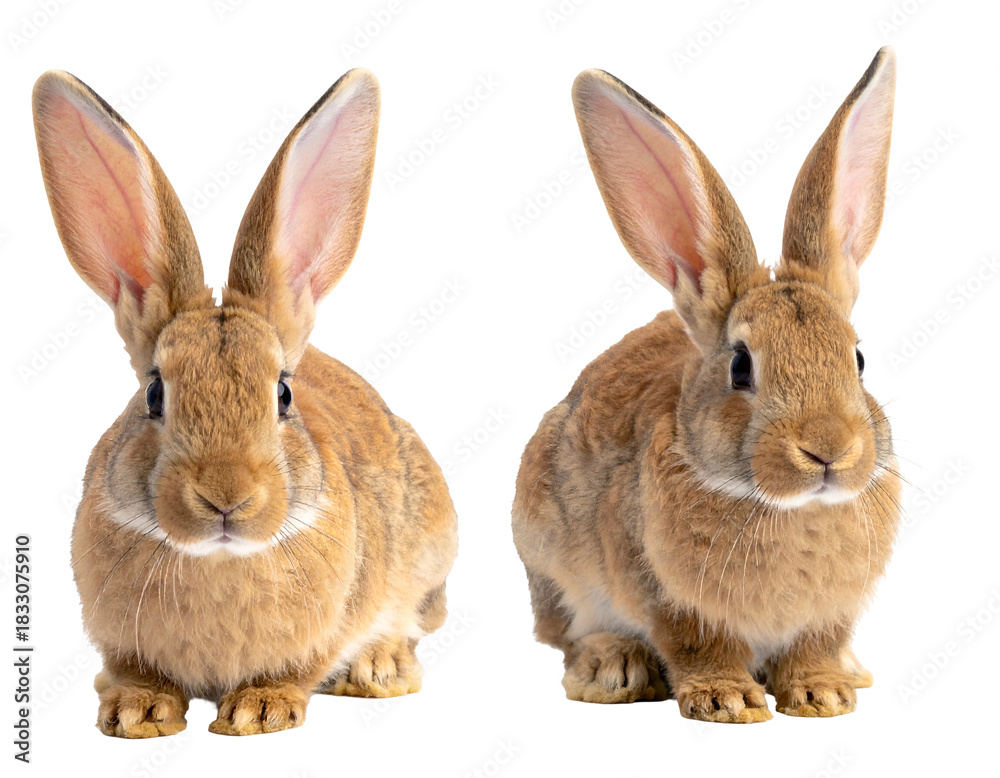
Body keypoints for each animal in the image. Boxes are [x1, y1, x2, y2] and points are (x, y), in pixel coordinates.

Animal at [33, 68, 458, 737]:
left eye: (283, 393)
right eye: (154, 392)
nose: (226, 496)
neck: (217, 558)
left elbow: (297, 670)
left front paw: (258, 712)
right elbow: (132, 673)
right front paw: (137, 713)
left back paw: (380, 670)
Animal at [512, 47, 901, 722]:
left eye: (857, 358)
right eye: (740, 366)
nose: (829, 448)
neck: (789, 507)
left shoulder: (829, 616)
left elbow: (815, 645)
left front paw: (824, 694)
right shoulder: (666, 597)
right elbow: (697, 644)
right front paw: (727, 701)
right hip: (549, 557)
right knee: (568, 634)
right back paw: (612, 668)